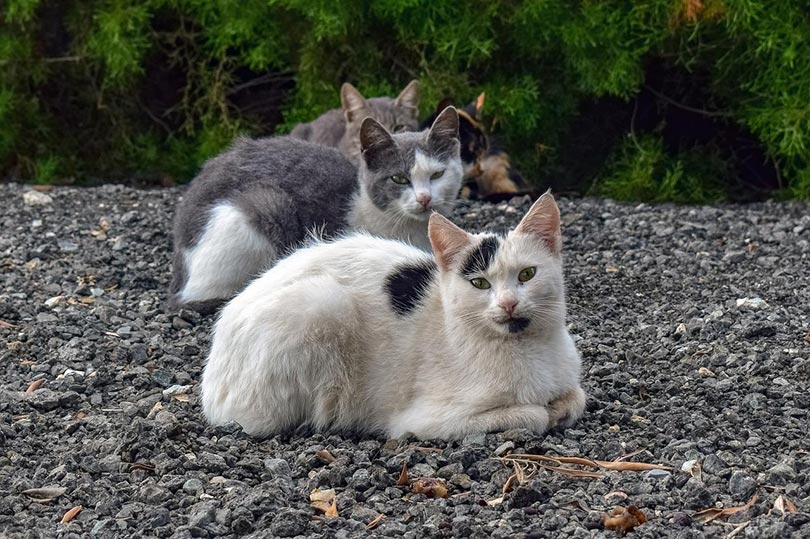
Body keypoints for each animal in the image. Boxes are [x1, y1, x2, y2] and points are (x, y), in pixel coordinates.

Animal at [199, 192, 584, 440]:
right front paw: (544, 411)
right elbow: (531, 414)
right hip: (320, 303)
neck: (528, 349)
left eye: (527, 275)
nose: (508, 303)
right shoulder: (427, 419)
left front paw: (561, 405)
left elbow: (576, 398)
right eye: (479, 283)